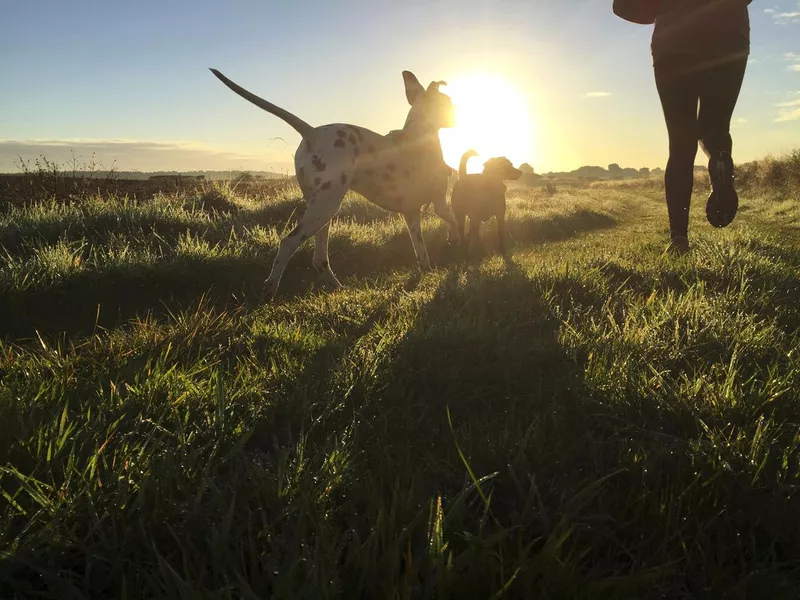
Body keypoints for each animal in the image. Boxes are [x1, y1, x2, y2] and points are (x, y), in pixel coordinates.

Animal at [209, 68, 460, 300]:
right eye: (448, 102)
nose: (457, 115)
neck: (419, 135)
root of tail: (313, 133)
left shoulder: (411, 214)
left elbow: (421, 250)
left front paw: (428, 269)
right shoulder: (440, 204)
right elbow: (456, 222)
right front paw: (458, 243)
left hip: (322, 210)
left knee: (319, 258)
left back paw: (337, 287)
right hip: (326, 207)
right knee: (288, 243)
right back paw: (271, 287)